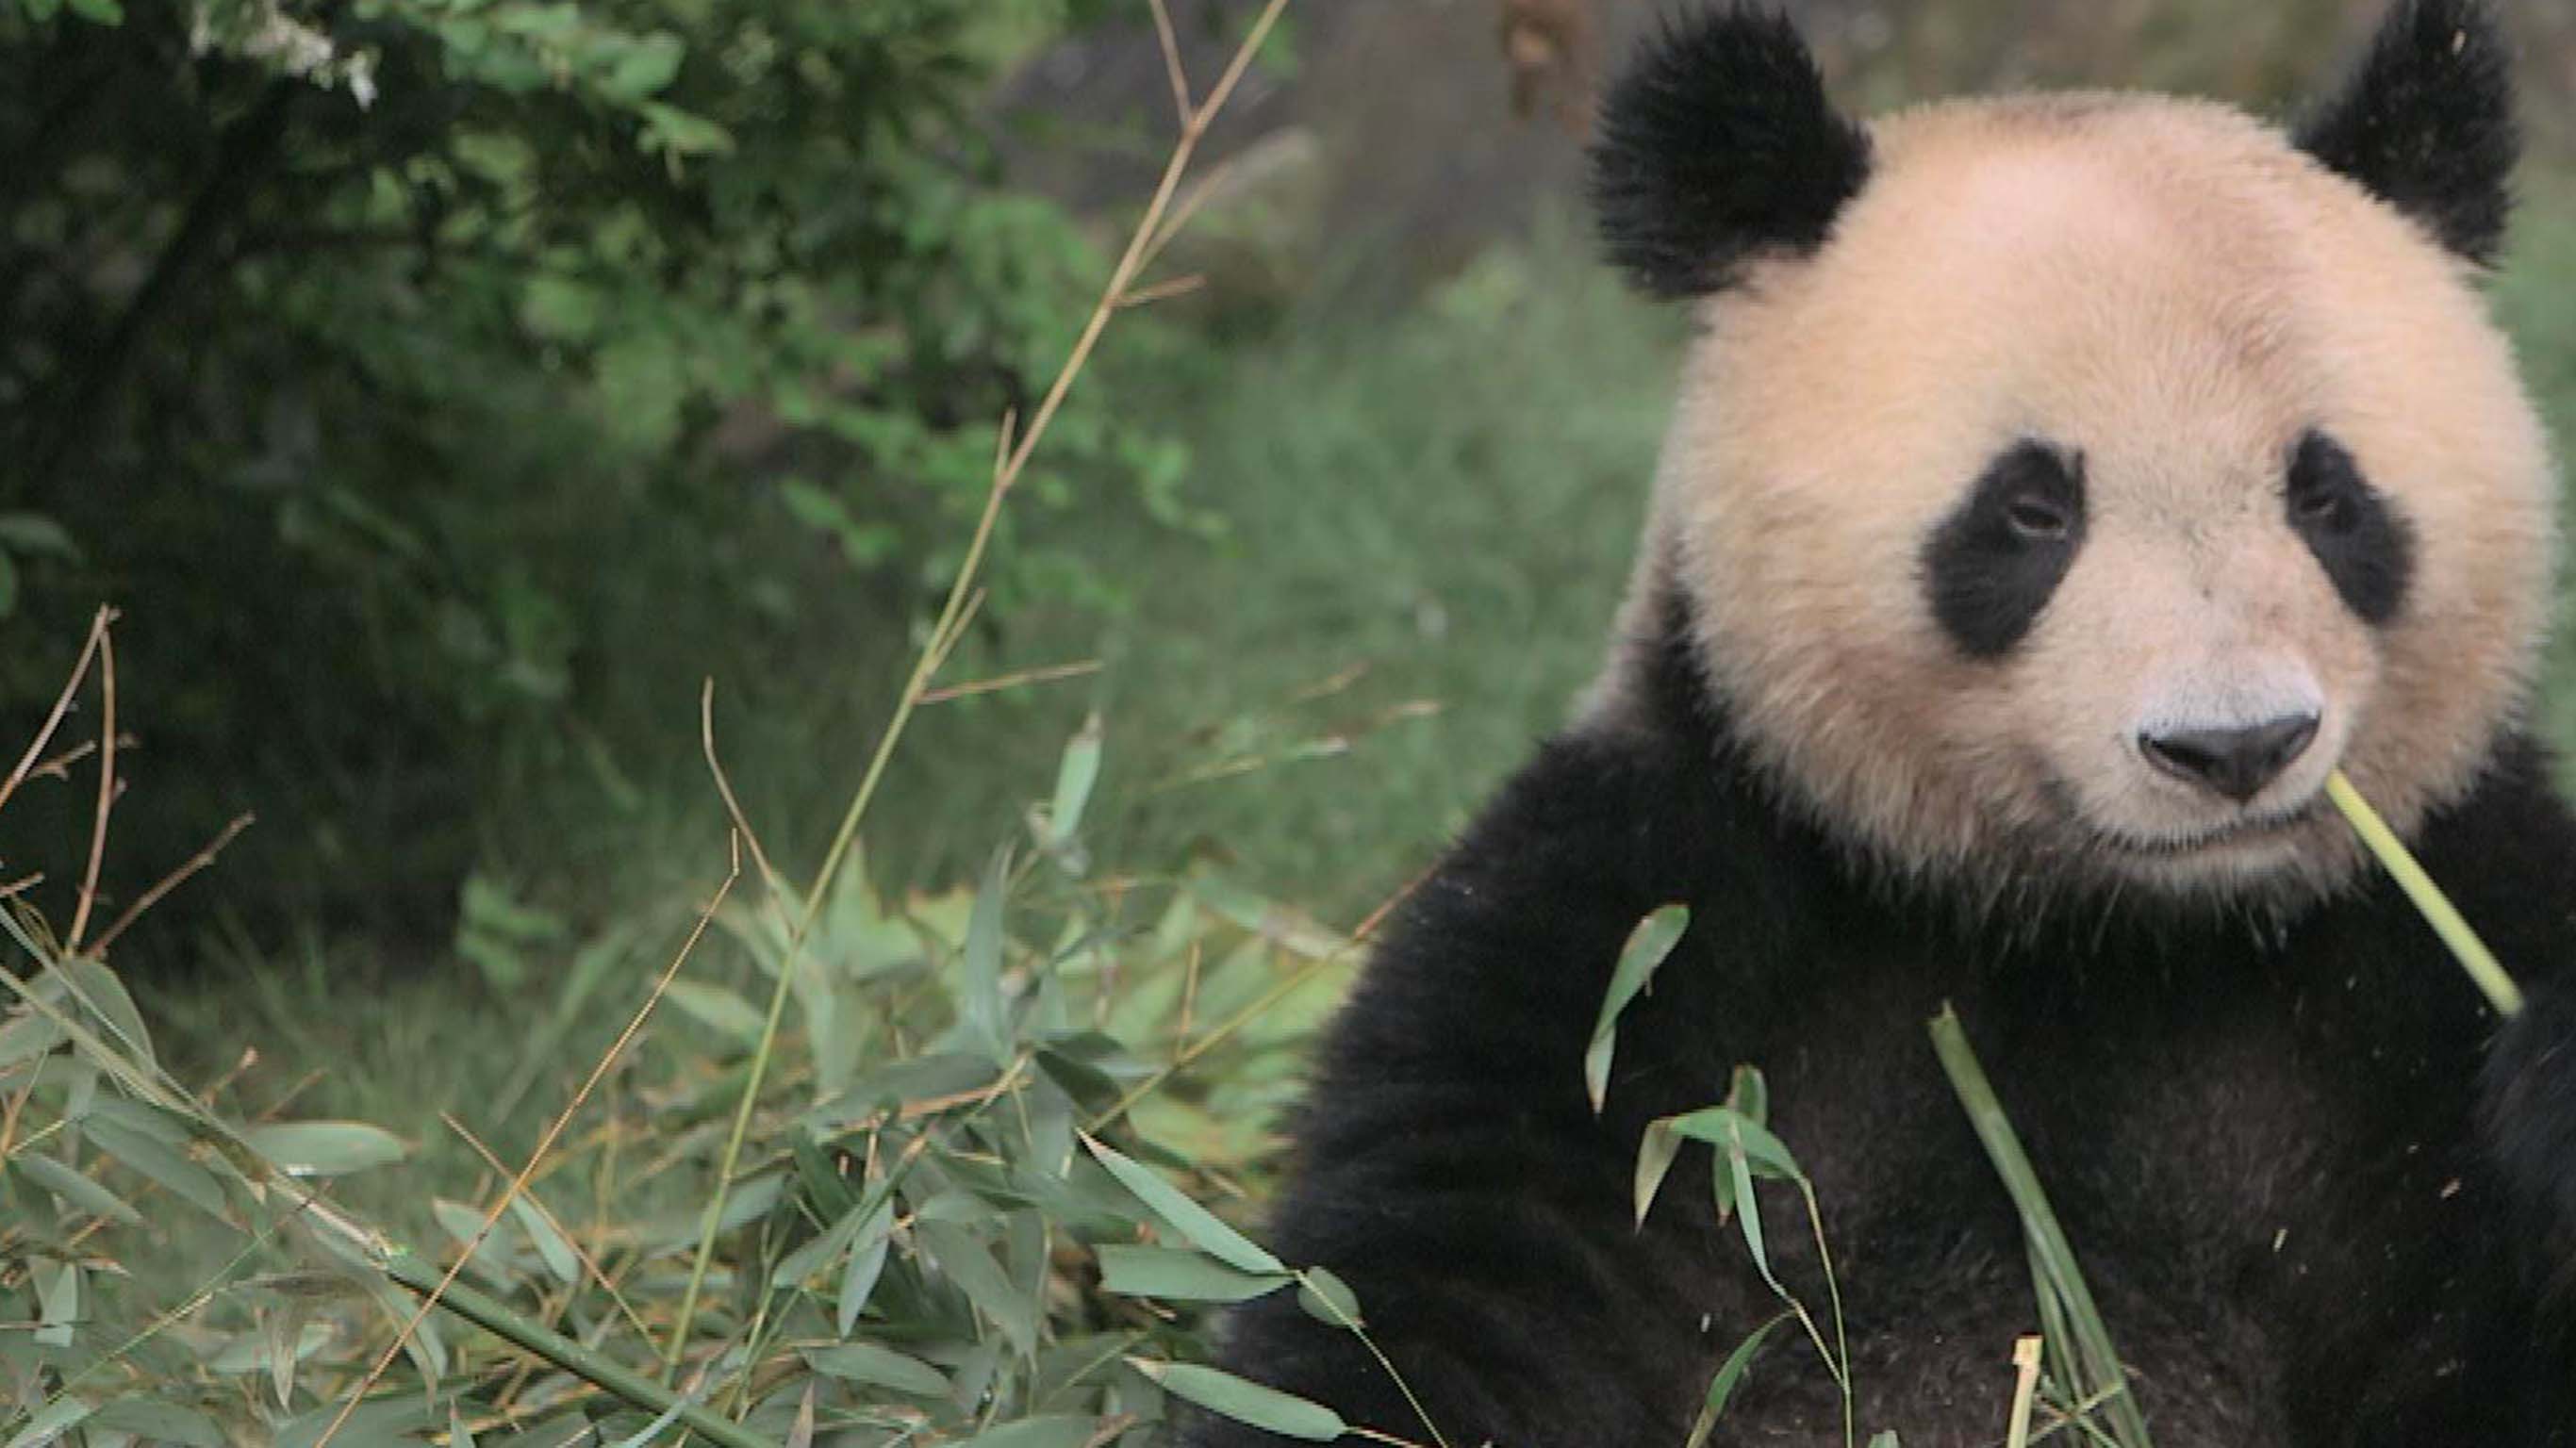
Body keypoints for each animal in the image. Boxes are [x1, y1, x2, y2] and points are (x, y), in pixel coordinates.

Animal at [1183, 1, 2576, 1444]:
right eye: (2030, 510)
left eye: (2325, 496)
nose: (2231, 749)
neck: (2103, 937)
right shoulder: (1649, 931)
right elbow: (1442, 1298)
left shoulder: (2414, 966)